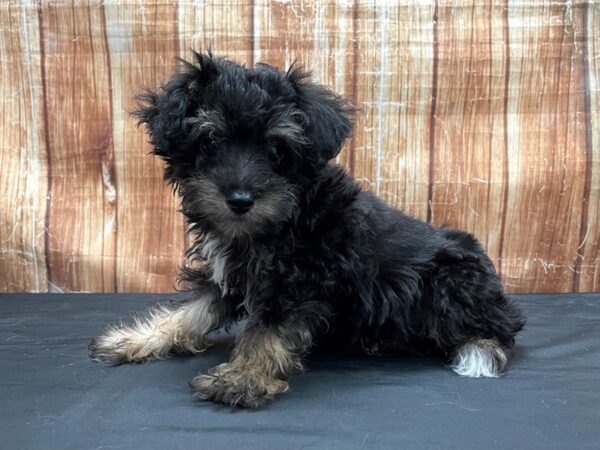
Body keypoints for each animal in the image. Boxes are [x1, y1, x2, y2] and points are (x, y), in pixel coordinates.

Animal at [89, 51, 524, 408]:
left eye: (276, 151)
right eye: (210, 143)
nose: (240, 199)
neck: (281, 221)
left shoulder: (297, 284)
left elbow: (266, 332)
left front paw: (243, 377)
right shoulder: (227, 279)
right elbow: (188, 314)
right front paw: (136, 339)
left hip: (450, 280)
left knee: (500, 329)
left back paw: (480, 349)